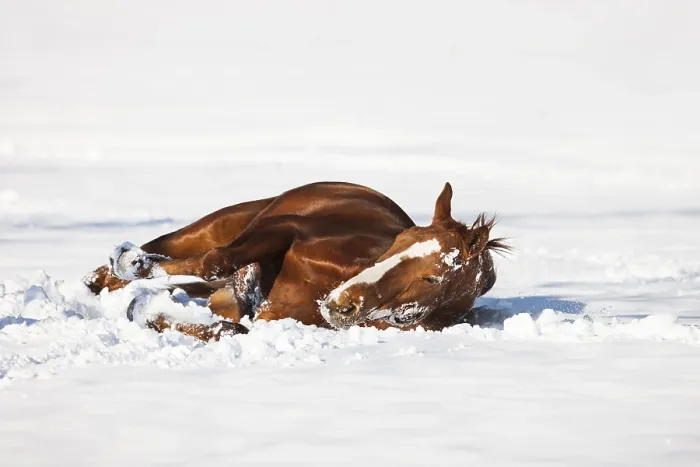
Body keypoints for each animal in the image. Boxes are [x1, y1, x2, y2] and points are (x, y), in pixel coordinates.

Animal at [84, 182, 509, 340]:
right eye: (399, 241)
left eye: (432, 278)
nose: (343, 303)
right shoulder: (282, 228)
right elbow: (217, 262)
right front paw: (133, 265)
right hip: (217, 226)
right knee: (164, 252)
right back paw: (118, 267)